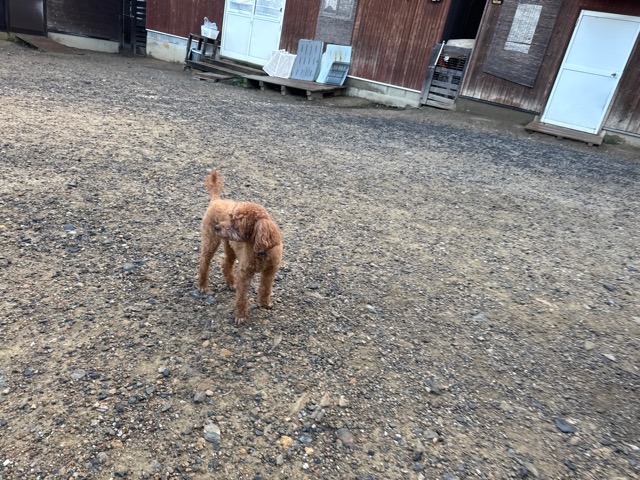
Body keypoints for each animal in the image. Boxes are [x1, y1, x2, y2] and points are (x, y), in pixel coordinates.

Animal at [198, 170, 283, 324]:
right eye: (230, 217)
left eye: (237, 224)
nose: (217, 227)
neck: (260, 252)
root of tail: (216, 200)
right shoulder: (244, 273)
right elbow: (242, 296)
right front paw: (241, 316)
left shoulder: (270, 271)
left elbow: (266, 289)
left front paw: (264, 304)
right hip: (210, 241)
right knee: (204, 262)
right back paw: (202, 285)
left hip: (230, 245)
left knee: (226, 262)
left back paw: (231, 283)